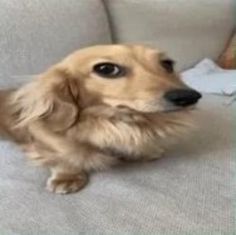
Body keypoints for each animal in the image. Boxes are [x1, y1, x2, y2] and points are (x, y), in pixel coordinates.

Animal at [0, 43, 201, 193]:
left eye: (167, 64)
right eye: (106, 69)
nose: (191, 96)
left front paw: (147, 150)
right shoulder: (46, 142)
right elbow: (65, 156)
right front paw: (67, 176)